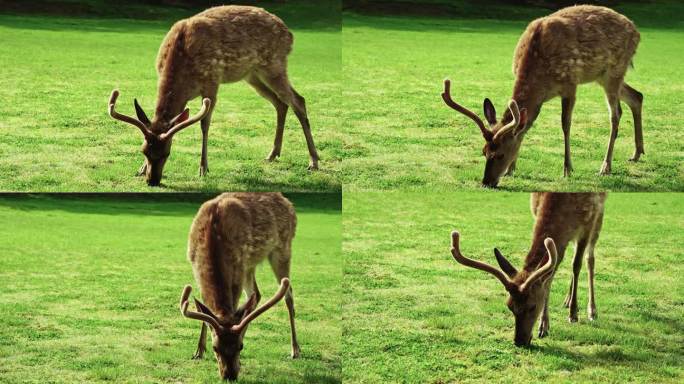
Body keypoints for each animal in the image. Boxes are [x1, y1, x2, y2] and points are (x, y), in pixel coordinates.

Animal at [107, 5, 320, 186]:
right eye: (144, 151)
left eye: (167, 153)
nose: (152, 181)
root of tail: (289, 34)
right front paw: (141, 169)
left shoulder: (211, 81)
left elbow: (204, 125)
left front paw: (203, 169)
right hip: (253, 74)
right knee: (280, 103)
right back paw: (273, 154)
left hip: (274, 64)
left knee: (298, 101)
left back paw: (314, 161)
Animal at [179, 194, 300, 380]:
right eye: (215, 348)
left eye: (240, 346)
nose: (230, 375)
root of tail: (287, 202)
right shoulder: (194, 267)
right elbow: (203, 310)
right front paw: (198, 351)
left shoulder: (237, 269)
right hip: (250, 266)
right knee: (255, 295)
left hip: (281, 249)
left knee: (288, 293)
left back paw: (295, 350)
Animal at [440, 4, 644, 188]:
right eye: (484, 151)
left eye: (500, 154)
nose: (486, 182)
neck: (541, 77)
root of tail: (636, 31)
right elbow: (524, 126)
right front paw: (511, 170)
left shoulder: (570, 83)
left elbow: (565, 124)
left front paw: (567, 169)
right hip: (603, 76)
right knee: (637, 96)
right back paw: (637, 153)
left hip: (615, 70)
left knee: (615, 115)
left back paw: (606, 166)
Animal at [452, 194, 608, 346]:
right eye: (509, 306)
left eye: (533, 306)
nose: (519, 341)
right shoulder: (535, 211)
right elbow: (549, 277)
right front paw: (544, 326)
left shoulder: (589, 221)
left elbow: (576, 265)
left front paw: (573, 314)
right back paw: (567, 300)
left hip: (598, 218)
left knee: (589, 259)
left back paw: (591, 310)